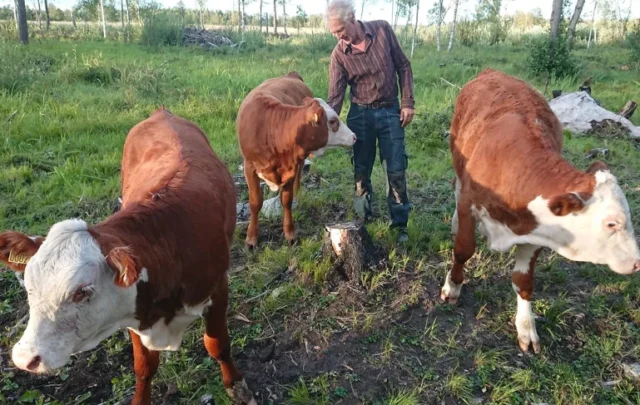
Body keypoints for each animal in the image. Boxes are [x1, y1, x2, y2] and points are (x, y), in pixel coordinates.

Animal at [0, 108, 257, 405]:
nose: (24, 358)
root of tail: (162, 112)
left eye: (82, 292)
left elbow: (218, 345)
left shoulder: (218, 288)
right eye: (28, 286)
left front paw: (237, 386)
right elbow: (144, 367)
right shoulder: (135, 309)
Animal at [237, 71, 357, 249]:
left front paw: (290, 234)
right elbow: (255, 202)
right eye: (333, 121)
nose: (354, 136)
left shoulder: (290, 167)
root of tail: (290, 74)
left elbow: (286, 200)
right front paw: (251, 238)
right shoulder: (249, 167)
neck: (270, 129)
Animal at [441, 69, 640, 354]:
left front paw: (526, 328)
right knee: (456, 188)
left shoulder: (537, 230)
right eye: (612, 223)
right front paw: (452, 287)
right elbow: (463, 250)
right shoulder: (470, 203)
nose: (637, 263)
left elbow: (523, 281)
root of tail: (493, 72)